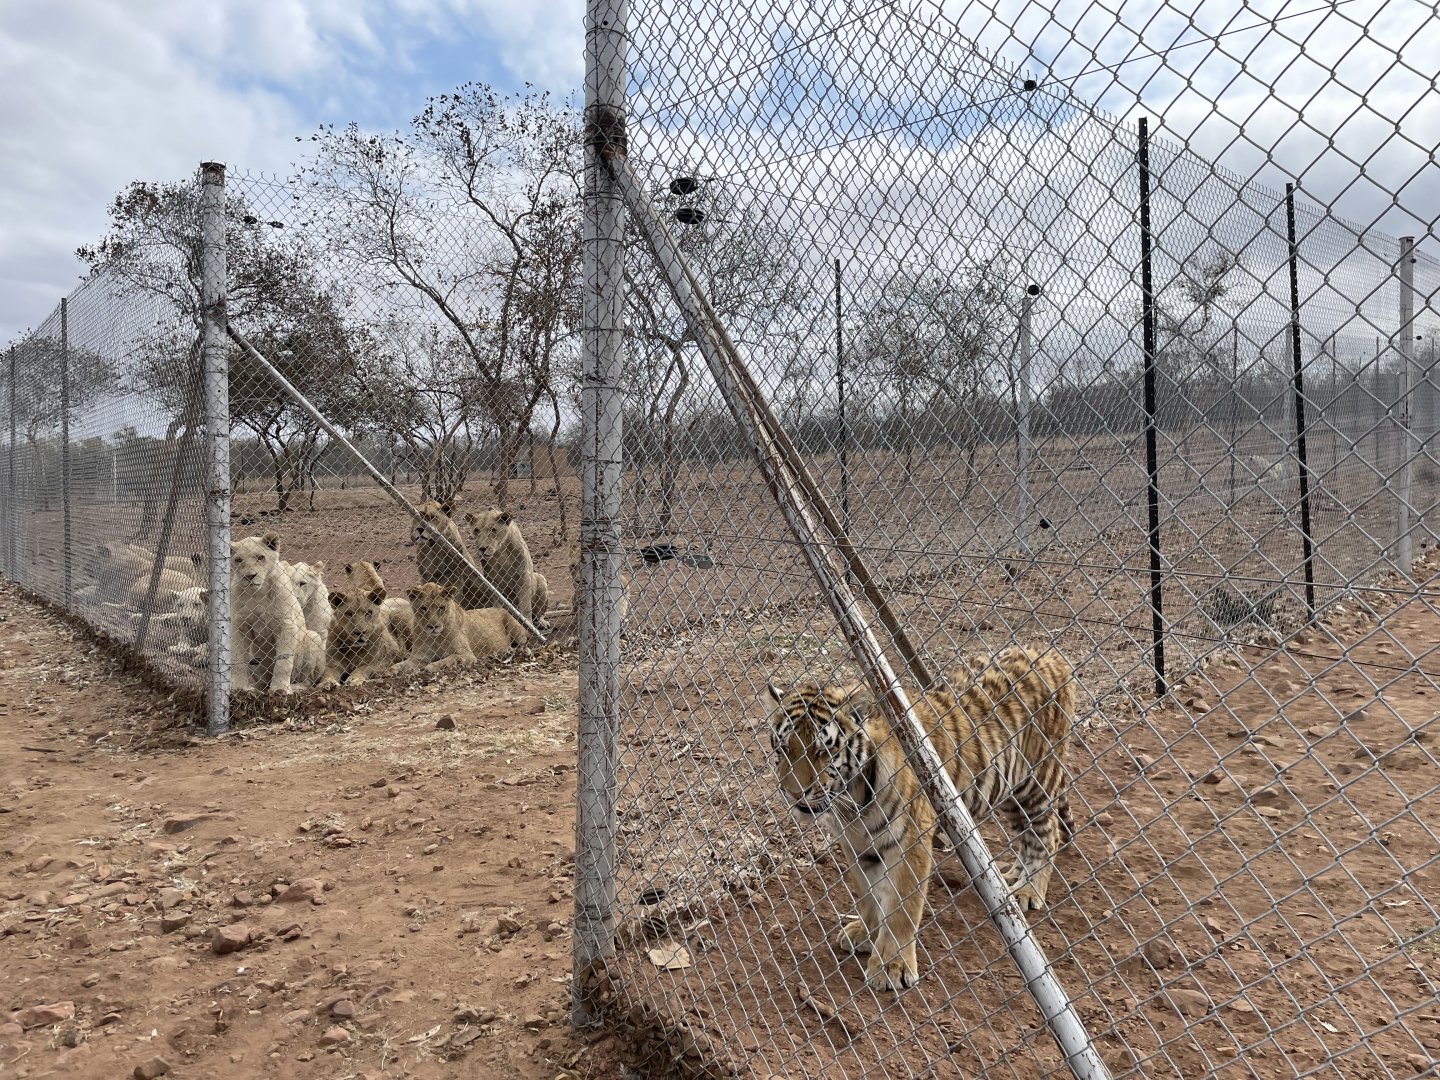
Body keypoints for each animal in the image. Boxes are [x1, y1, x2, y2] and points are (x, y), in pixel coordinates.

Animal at [230, 533, 307, 694]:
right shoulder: (239, 625)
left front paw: (280, 689)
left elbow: (283, 662)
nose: (250, 576)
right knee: (262, 680)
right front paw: (239, 688)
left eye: (260, 557)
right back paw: (257, 688)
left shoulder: (285, 624)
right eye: (239, 560)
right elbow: (238, 657)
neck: (258, 593)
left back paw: (297, 686)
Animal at [765, 644, 1076, 992]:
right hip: (1008, 791)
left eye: (823, 751)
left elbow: (903, 905)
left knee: (1046, 833)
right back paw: (1013, 877)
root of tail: (1046, 651)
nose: (794, 794)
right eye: (784, 747)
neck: (852, 800)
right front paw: (865, 933)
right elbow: (868, 893)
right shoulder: (856, 843)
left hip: (1035, 782)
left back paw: (1028, 890)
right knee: (1027, 834)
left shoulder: (911, 839)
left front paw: (892, 966)